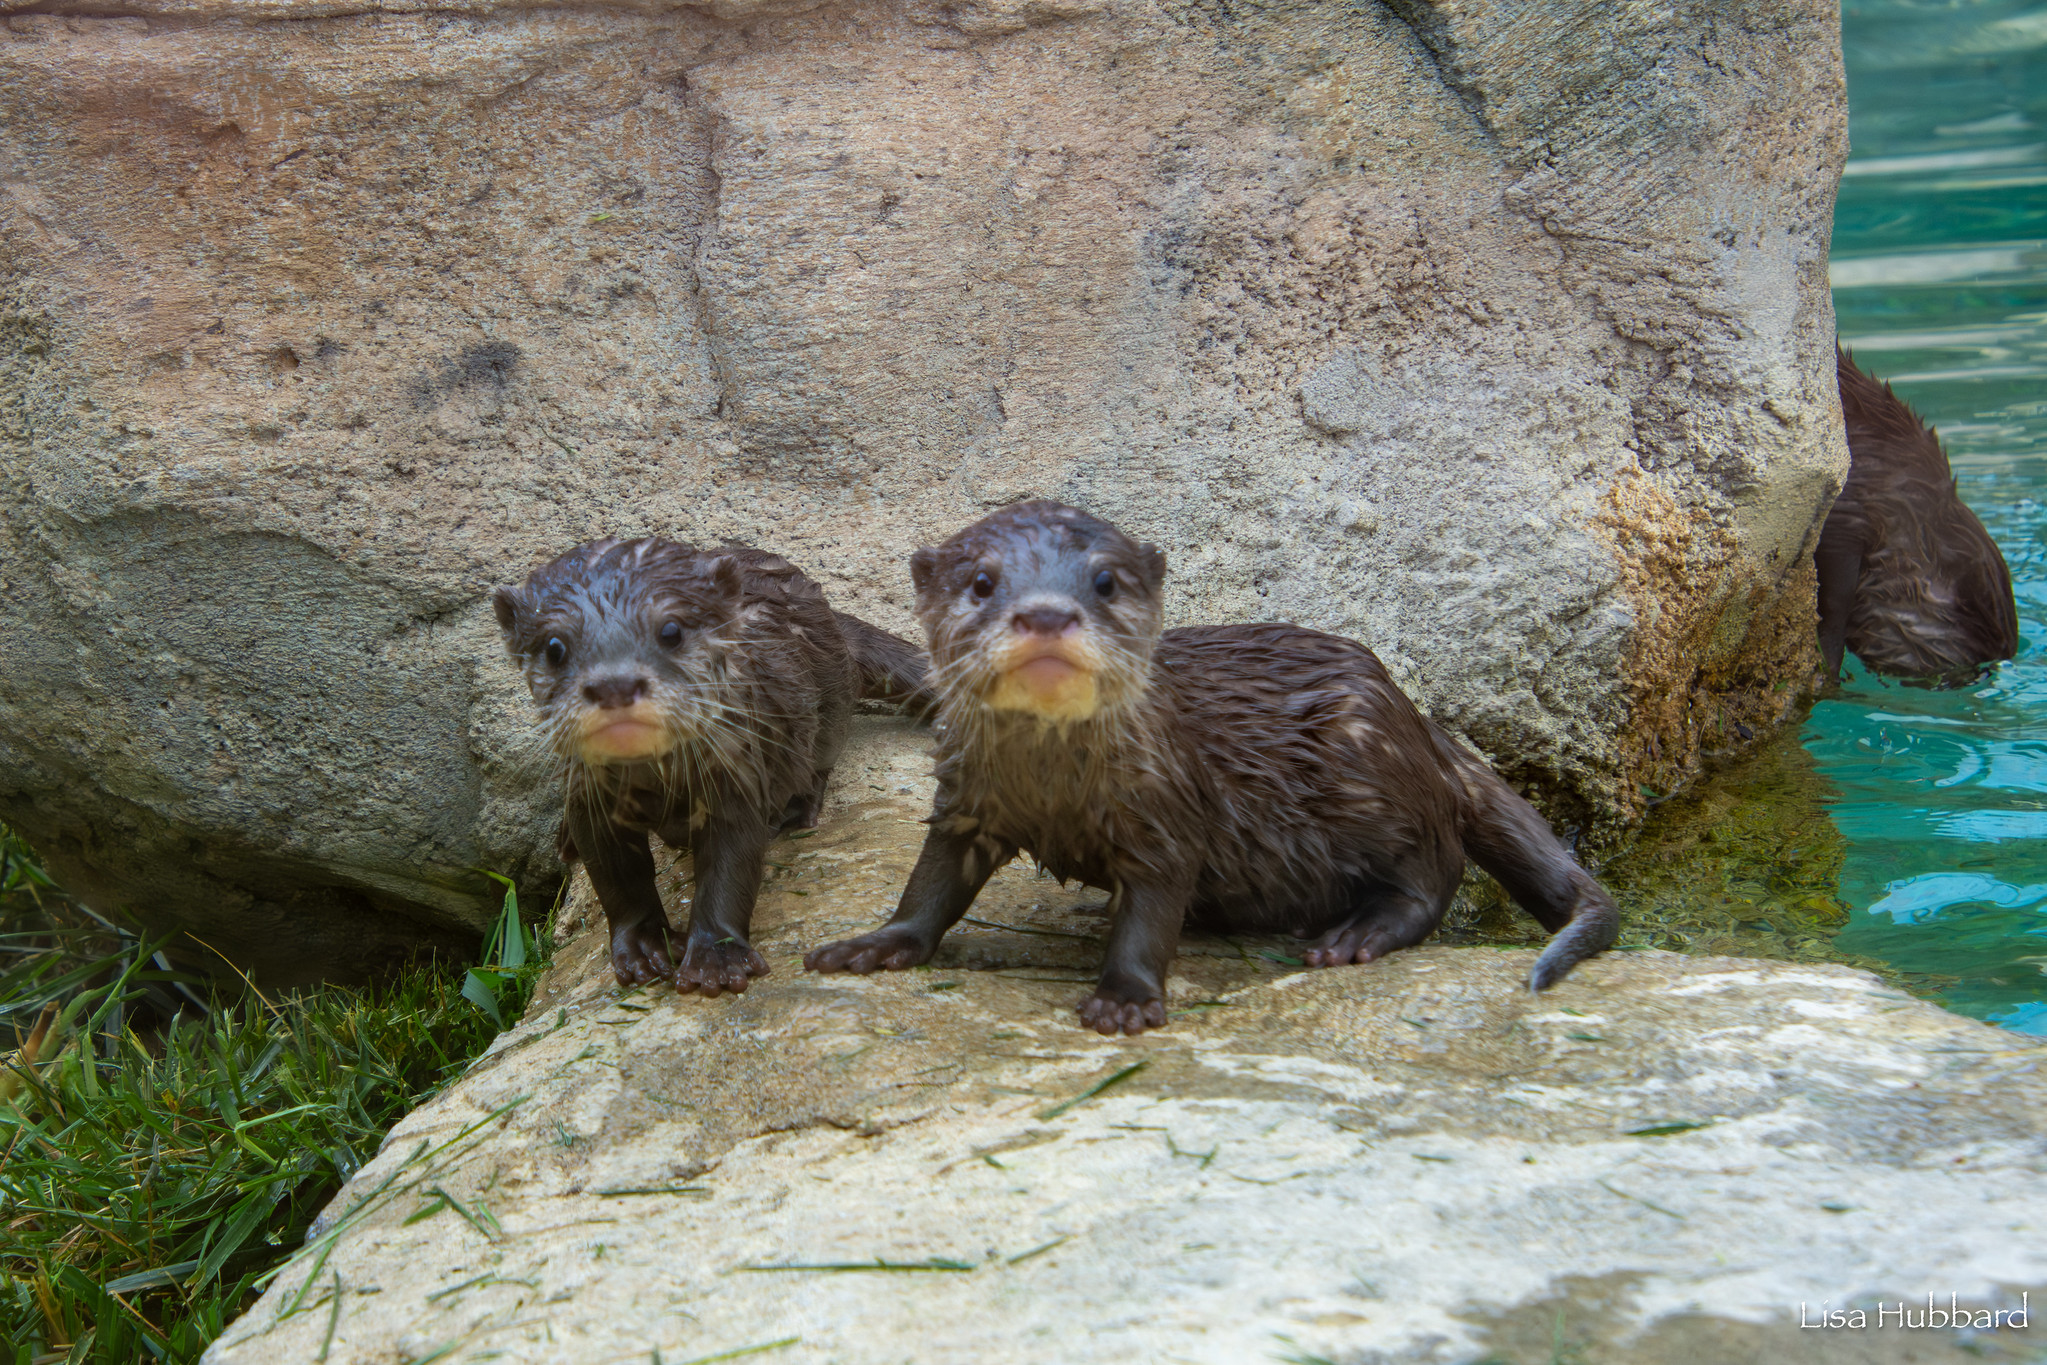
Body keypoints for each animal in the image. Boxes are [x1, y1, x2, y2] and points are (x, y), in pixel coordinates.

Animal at [494, 538, 925, 993]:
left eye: (671, 630)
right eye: (554, 647)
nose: (614, 685)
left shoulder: (736, 776)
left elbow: (728, 870)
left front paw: (715, 959)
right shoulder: (588, 801)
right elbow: (618, 881)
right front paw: (644, 947)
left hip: (829, 705)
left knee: (821, 760)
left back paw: (796, 810)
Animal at [804, 501, 1619, 1035]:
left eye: (1104, 581)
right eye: (980, 580)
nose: (1046, 615)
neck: (1053, 786)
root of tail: (1418, 719)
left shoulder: (1164, 813)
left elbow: (1152, 915)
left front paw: (1125, 997)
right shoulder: (966, 799)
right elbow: (930, 886)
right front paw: (876, 943)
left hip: (1365, 762)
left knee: (1436, 869)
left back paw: (1357, 933)